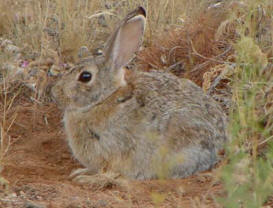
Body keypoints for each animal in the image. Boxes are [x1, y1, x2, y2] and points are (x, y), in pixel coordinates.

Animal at [50, 5, 227, 183]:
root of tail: (220, 144)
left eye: (85, 76)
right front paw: (81, 172)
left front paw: (86, 178)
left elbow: (107, 172)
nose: (55, 94)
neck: (104, 99)